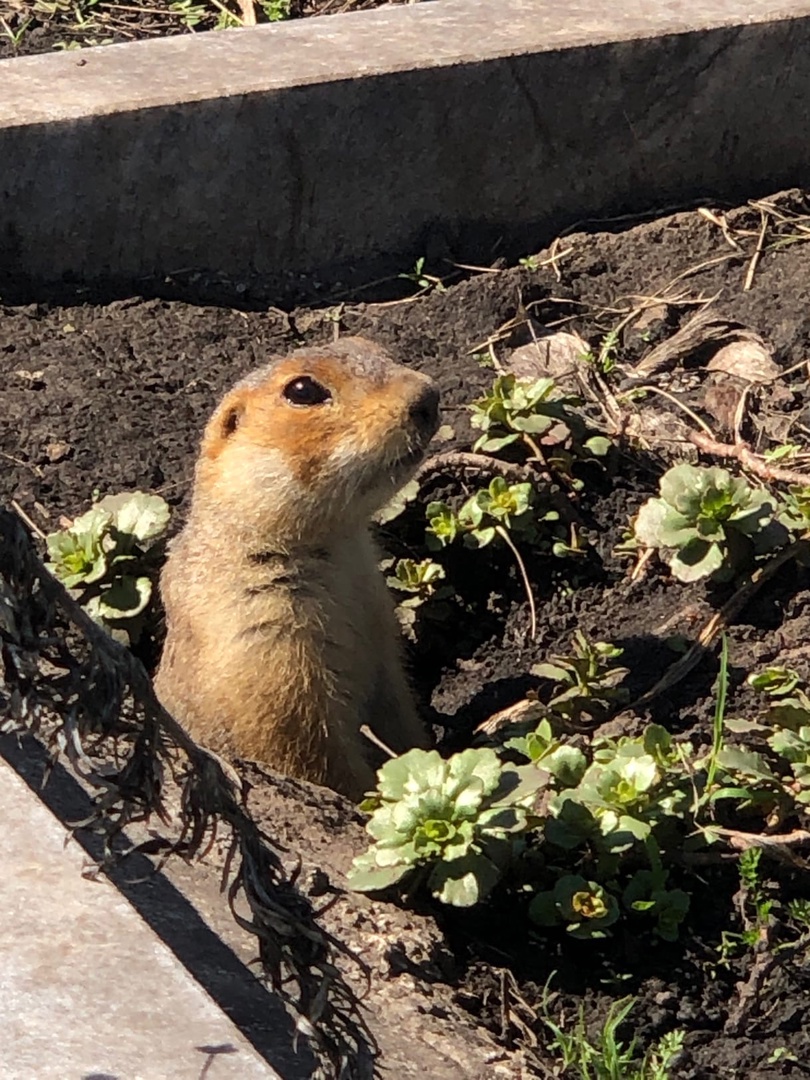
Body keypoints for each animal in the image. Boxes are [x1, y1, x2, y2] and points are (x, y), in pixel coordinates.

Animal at [154, 336, 440, 803]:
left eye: (369, 345)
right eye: (302, 391)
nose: (427, 396)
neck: (338, 550)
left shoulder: (380, 628)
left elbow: (397, 717)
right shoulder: (266, 653)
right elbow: (310, 757)